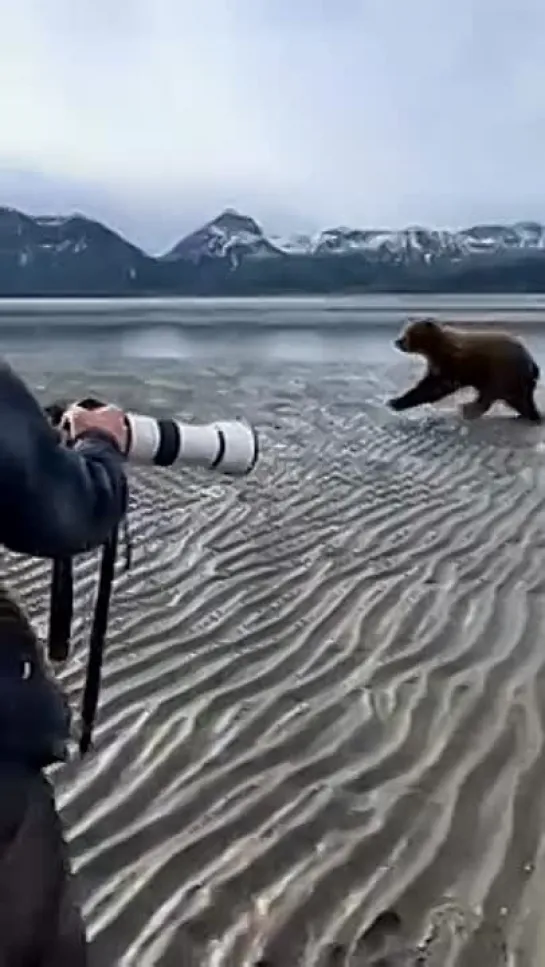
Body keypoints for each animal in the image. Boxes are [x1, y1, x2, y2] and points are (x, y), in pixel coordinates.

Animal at [386, 318, 540, 424]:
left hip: (502, 370)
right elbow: (430, 383)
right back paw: (527, 414)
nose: (397, 342)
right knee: (518, 398)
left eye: (407, 333)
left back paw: (469, 409)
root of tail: (531, 361)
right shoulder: (438, 364)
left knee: (494, 393)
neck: (436, 348)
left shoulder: (451, 364)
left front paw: (395, 402)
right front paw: (395, 401)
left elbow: (435, 386)